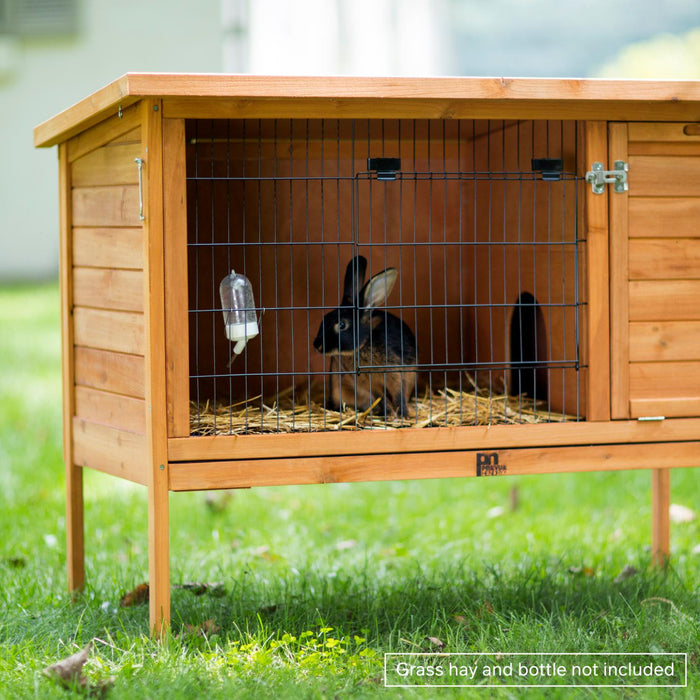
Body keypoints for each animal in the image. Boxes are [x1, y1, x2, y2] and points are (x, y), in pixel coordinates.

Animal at [313, 255, 417, 417]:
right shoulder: (369, 385)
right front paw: (389, 415)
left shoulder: (396, 373)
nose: (317, 345)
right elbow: (381, 398)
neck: (363, 344)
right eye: (324, 319)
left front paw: (403, 414)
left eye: (342, 325)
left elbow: (399, 394)